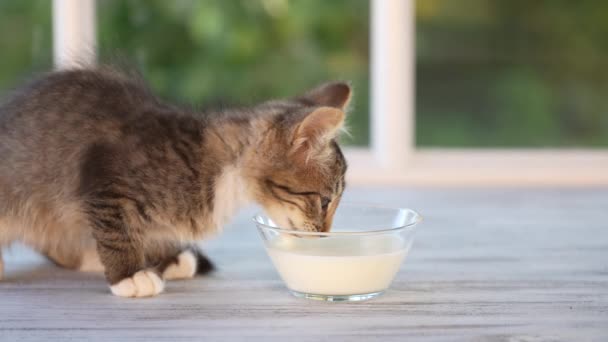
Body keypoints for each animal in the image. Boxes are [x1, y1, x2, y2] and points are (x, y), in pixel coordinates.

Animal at [0, 66, 350, 296]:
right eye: (324, 202)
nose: (326, 235)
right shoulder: (104, 179)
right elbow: (117, 232)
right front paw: (128, 274)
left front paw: (165, 257)